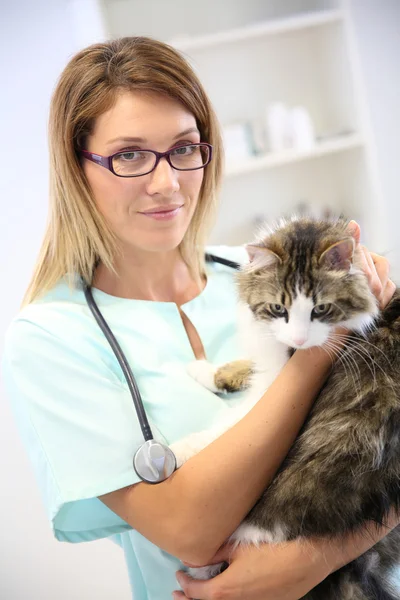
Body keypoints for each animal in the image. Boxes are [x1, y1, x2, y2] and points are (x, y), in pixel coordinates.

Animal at [170, 217, 400, 600]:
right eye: (279, 309)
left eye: (321, 309)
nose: (300, 340)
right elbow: (242, 366)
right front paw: (204, 369)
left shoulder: (275, 384)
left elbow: (227, 425)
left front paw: (177, 450)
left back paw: (201, 570)